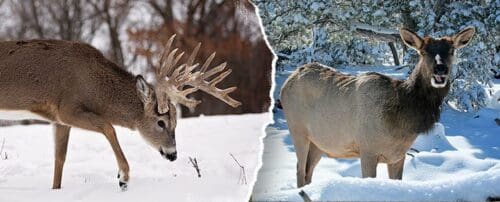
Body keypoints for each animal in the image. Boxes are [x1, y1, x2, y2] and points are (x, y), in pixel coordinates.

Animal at [0, 35, 242, 190]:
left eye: (176, 122)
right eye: (160, 122)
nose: (173, 154)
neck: (93, 85)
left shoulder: (59, 120)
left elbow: (60, 158)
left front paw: (56, 190)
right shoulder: (67, 108)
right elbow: (109, 126)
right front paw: (123, 177)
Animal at [282, 26, 476, 188]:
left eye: (451, 50)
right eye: (423, 51)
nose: (440, 69)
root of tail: (287, 83)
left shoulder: (398, 156)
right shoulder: (367, 150)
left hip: (319, 143)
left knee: (308, 172)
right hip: (298, 130)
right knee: (299, 170)